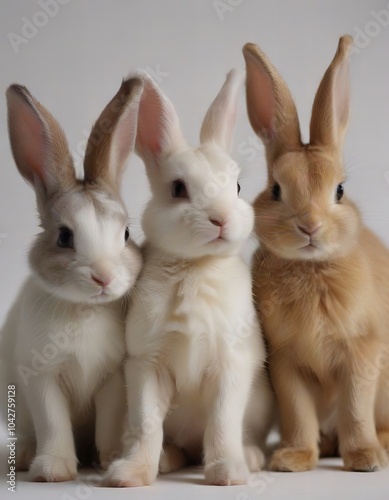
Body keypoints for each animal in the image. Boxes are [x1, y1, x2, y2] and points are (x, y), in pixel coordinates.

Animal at [0, 77, 144, 480]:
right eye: (64, 237)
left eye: (126, 234)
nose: (104, 277)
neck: (83, 310)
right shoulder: (41, 379)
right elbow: (53, 424)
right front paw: (54, 469)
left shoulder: (112, 381)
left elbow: (108, 422)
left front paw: (110, 458)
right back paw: (25, 456)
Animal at [103, 68, 272, 486]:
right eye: (178, 189)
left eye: (238, 186)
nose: (221, 218)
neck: (195, 267)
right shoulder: (146, 367)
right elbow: (146, 424)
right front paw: (130, 475)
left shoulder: (231, 366)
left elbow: (223, 422)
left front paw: (227, 473)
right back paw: (166, 461)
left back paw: (250, 458)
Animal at [242, 35, 388, 472]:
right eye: (276, 190)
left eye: (339, 190)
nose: (309, 226)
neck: (310, 268)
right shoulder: (286, 363)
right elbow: (297, 412)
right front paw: (292, 459)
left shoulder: (362, 352)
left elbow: (355, 410)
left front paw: (365, 460)